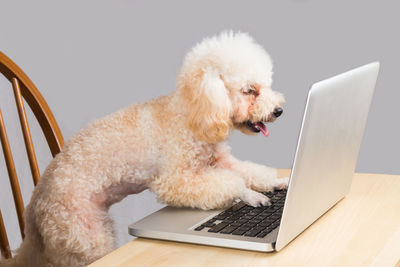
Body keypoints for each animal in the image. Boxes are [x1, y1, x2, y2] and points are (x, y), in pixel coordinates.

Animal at [0, 30, 288, 266]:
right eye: (250, 91)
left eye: (266, 85)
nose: (279, 110)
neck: (191, 113)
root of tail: (35, 204)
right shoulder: (175, 180)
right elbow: (233, 181)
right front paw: (251, 195)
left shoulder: (218, 160)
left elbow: (249, 171)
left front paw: (278, 182)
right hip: (84, 237)